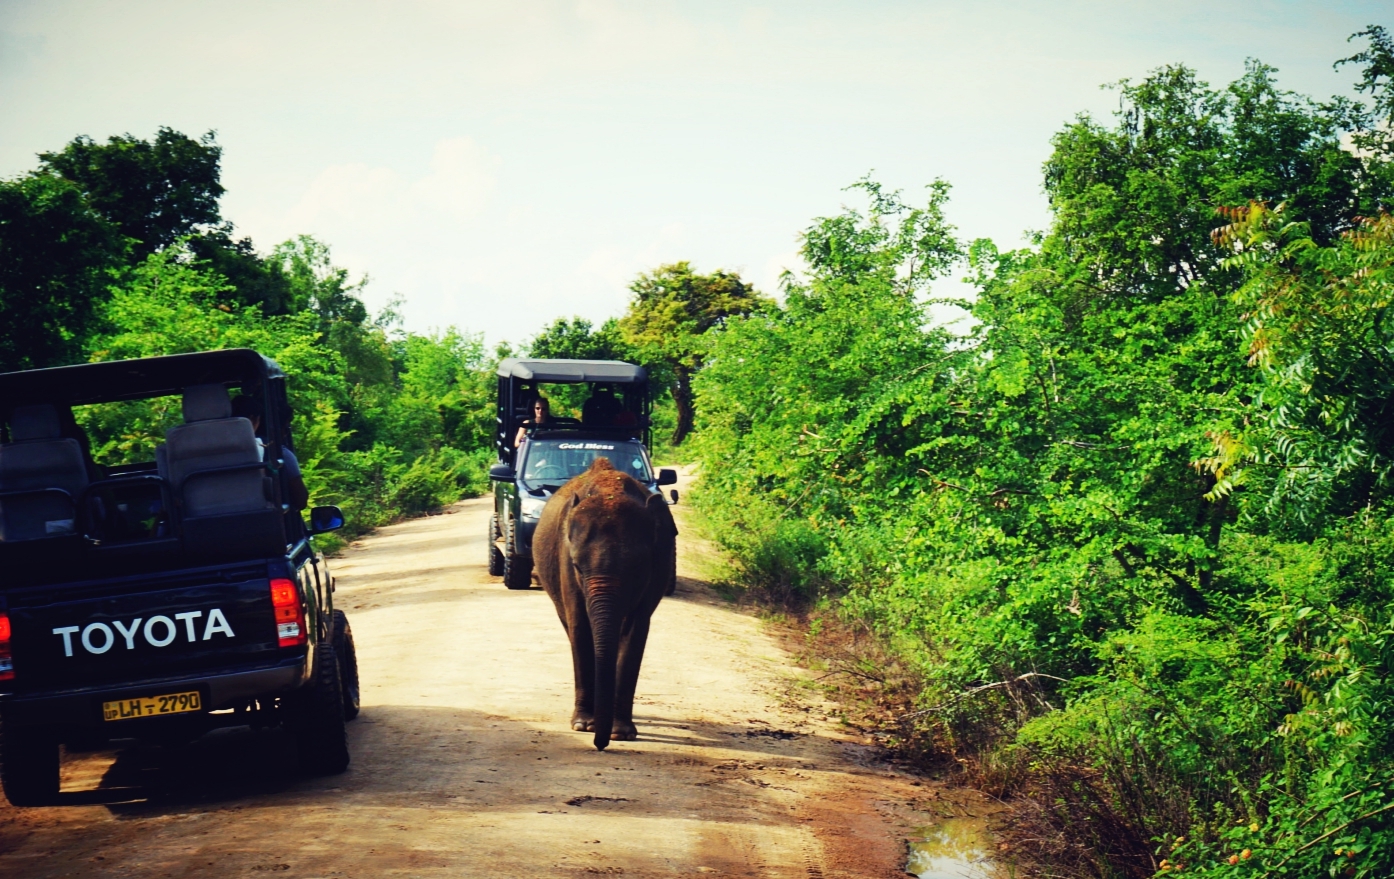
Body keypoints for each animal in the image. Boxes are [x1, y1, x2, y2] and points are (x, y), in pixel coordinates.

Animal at [529, 456, 677, 752]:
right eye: (577, 566)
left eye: (637, 568)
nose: (600, 745)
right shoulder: (565, 561)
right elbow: (580, 627)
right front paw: (584, 726)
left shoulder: (659, 564)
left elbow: (635, 631)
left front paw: (621, 732)